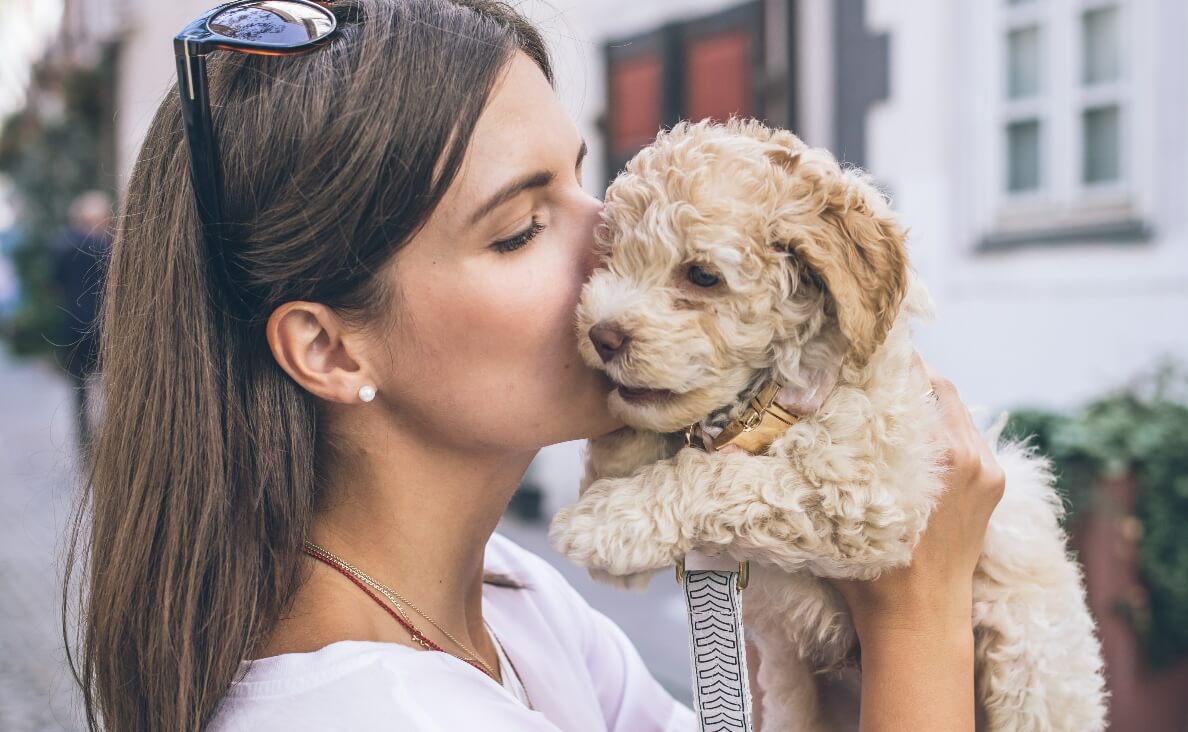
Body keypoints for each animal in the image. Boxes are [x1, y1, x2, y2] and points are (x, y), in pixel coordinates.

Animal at [551, 118, 1107, 732]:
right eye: (609, 256)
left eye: (701, 275)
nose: (601, 335)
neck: (768, 398)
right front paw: (622, 452)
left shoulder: (866, 497)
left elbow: (725, 477)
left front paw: (601, 519)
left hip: (1030, 673)